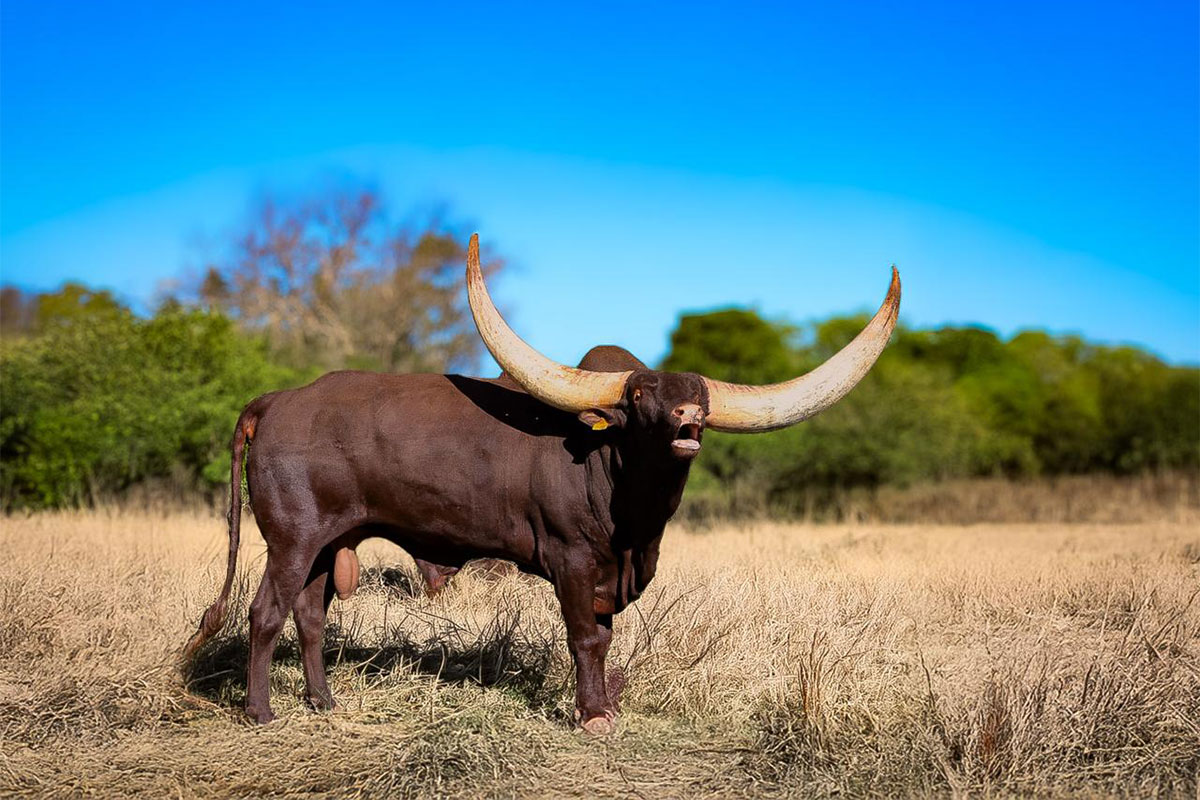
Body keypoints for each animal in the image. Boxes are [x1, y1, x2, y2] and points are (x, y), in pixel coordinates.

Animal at [182, 235, 900, 734]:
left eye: (697, 394)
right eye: (641, 395)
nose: (688, 418)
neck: (629, 509)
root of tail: (277, 400)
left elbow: (605, 639)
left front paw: (604, 705)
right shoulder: (573, 560)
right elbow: (585, 637)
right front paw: (594, 716)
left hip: (331, 543)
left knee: (308, 616)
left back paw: (324, 702)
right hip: (291, 540)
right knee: (265, 613)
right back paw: (261, 713)